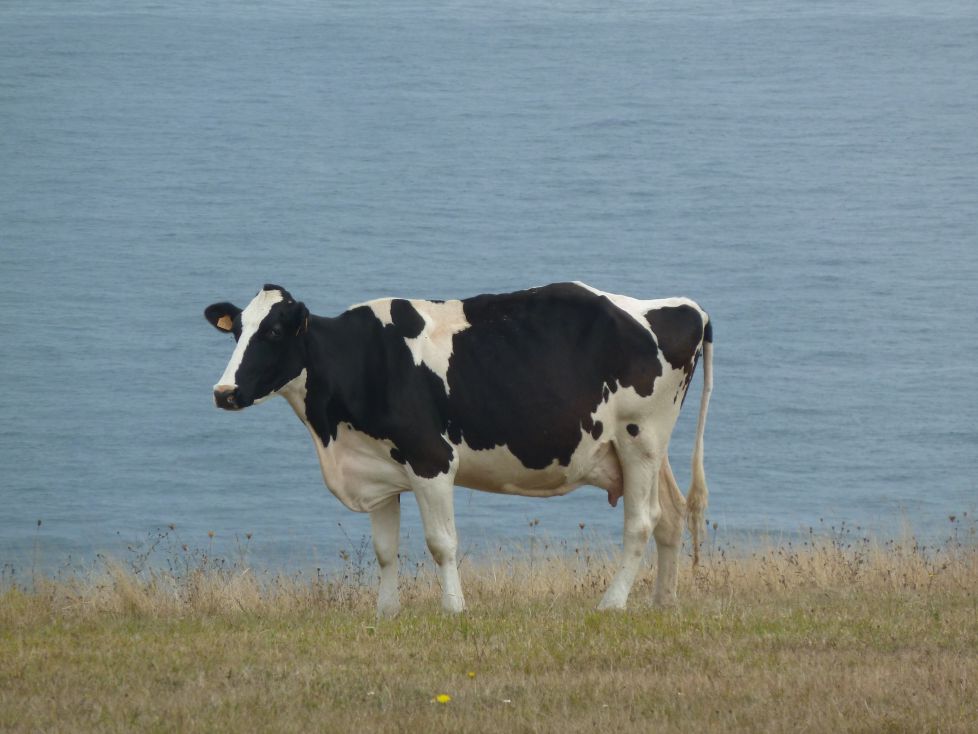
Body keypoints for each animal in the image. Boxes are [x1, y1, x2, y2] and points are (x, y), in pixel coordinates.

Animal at [204, 282, 713, 616]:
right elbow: (385, 549)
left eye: (273, 333)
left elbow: (441, 543)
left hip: (640, 437)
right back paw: (662, 603)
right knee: (670, 515)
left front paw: (454, 608)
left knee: (642, 521)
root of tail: (681, 307)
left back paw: (612, 603)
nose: (223, 392)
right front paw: (386, 613)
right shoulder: (378, 468)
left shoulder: (431, 460)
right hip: (643, 447)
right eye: (236, 332)